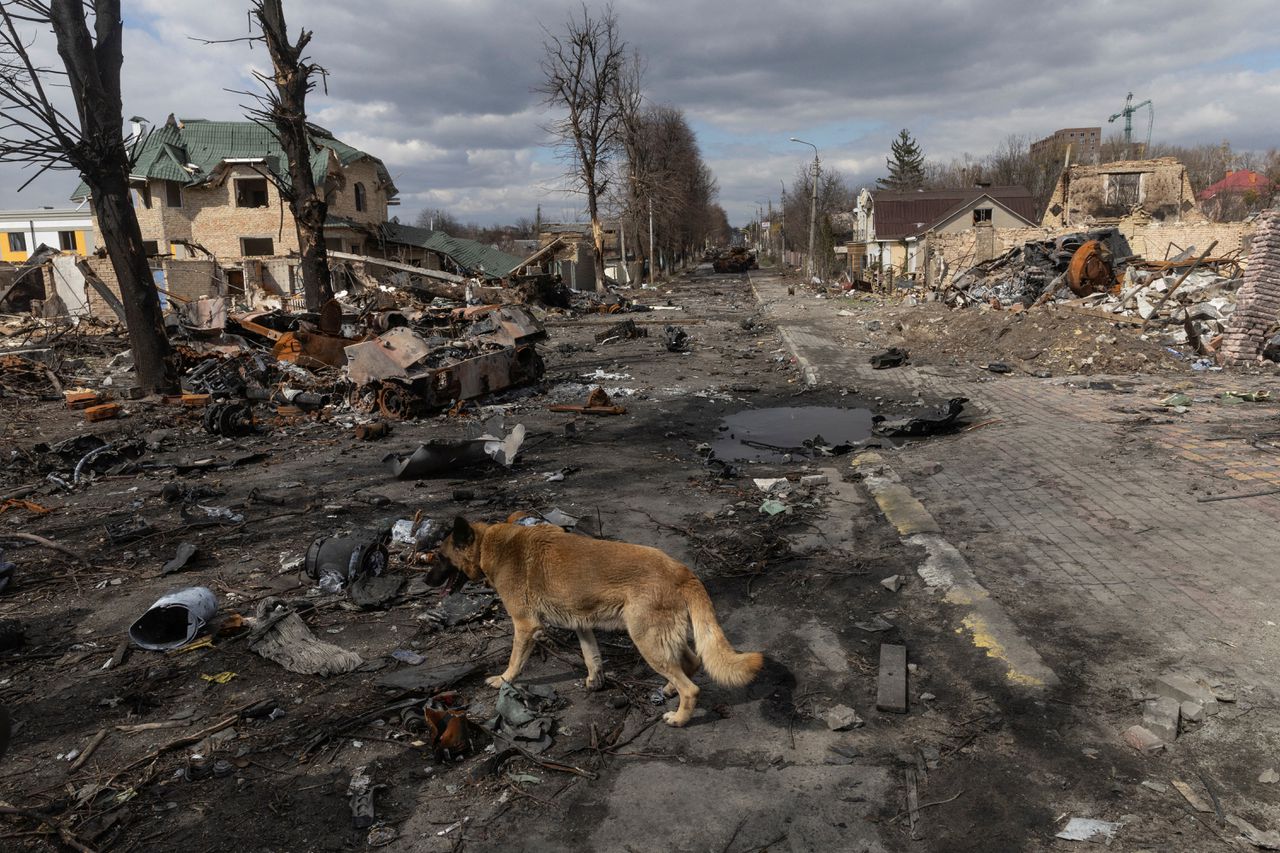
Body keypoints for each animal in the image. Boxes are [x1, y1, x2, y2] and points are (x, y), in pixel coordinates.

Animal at [440, 512, 757, 722]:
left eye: (440, 558)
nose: (430, 582)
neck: (489, 544)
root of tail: (681, 570)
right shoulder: (581, 622)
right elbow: (591, 655)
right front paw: (595, 680)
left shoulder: (526, 626)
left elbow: (515, 661)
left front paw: (503, 680)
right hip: (661, 638)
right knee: (690, 663)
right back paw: (669, 690)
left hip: (647, 641)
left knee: (690, 688)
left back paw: (679, 718)